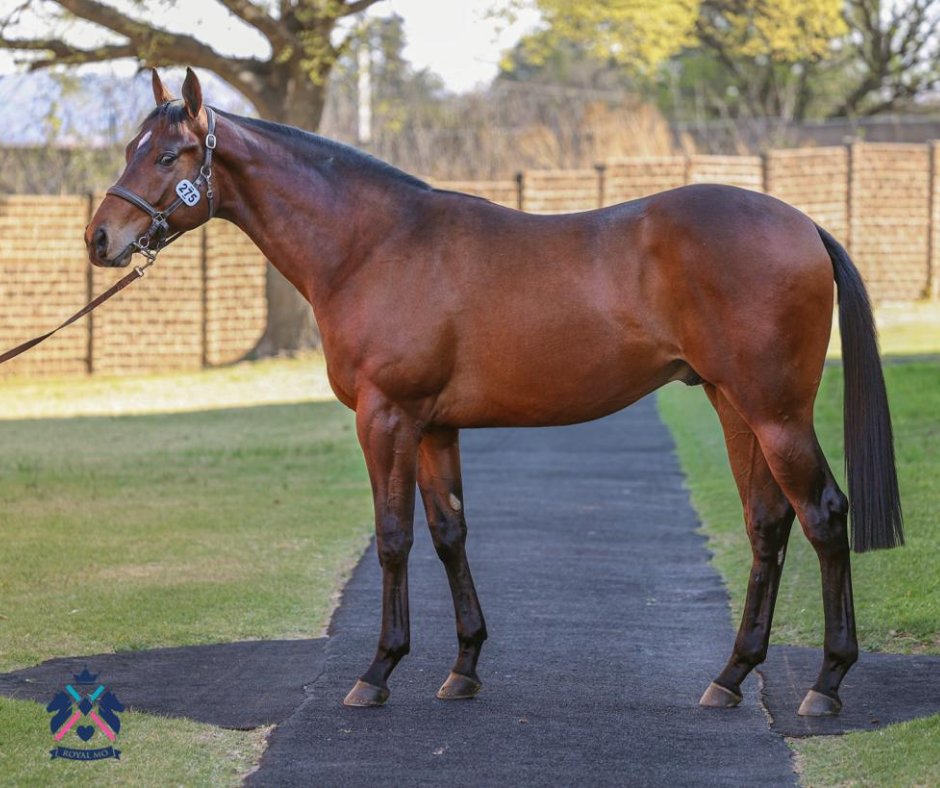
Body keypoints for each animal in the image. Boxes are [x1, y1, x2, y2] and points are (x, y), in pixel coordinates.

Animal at [85, 69, 903, 717]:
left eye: (167, 154)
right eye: (130, 148)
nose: (100, 239)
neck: (373, 245)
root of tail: (804, 225)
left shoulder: (386, 418)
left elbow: (393, 537)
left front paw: (377, 671)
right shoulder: (433, 427)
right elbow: (449, 533)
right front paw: (464, 667)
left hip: (776, 412)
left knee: (823, 515)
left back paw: (826, 684)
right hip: (736, 408)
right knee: (768, 524)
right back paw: (732, 676)